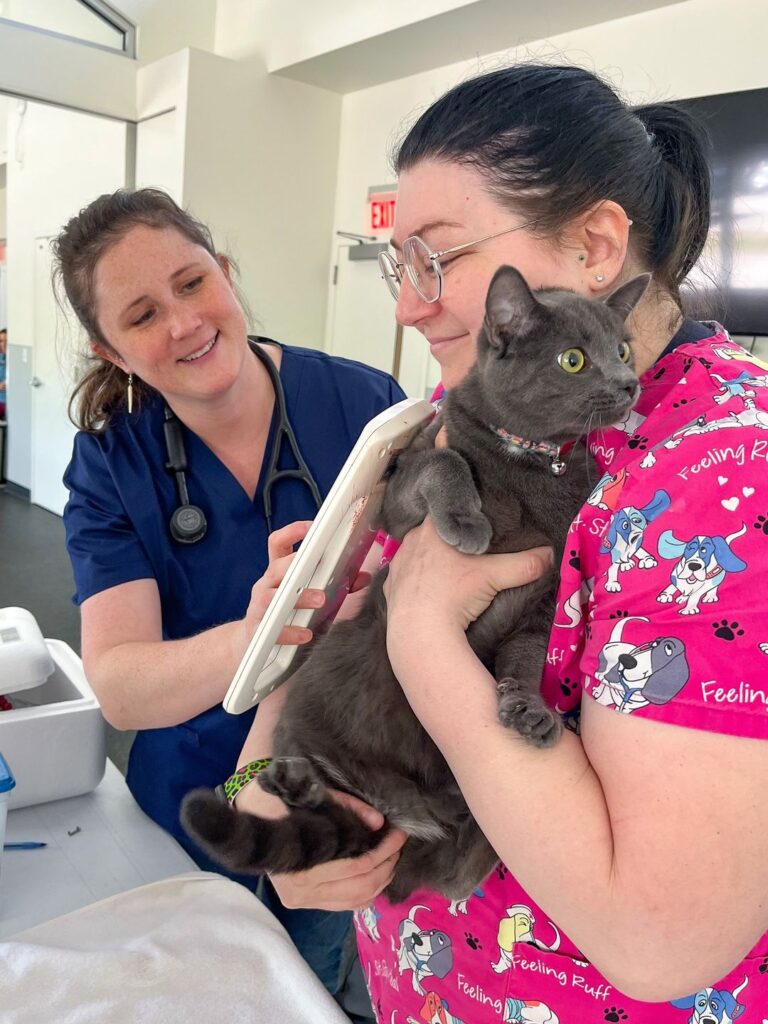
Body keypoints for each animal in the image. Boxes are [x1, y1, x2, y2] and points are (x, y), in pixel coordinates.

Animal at [182, 266, 651, 905]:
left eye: (623, 349)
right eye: (574, 360)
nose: (628, 383)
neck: (531, 461)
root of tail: (410, 817)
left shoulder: (543, 594)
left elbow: (528, 655)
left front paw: (528, 708)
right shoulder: (399, 503)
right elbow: (442, 464)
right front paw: (467, 523)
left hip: (457, 845)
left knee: (440, 863)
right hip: (329, 679)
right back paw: (293, 780)